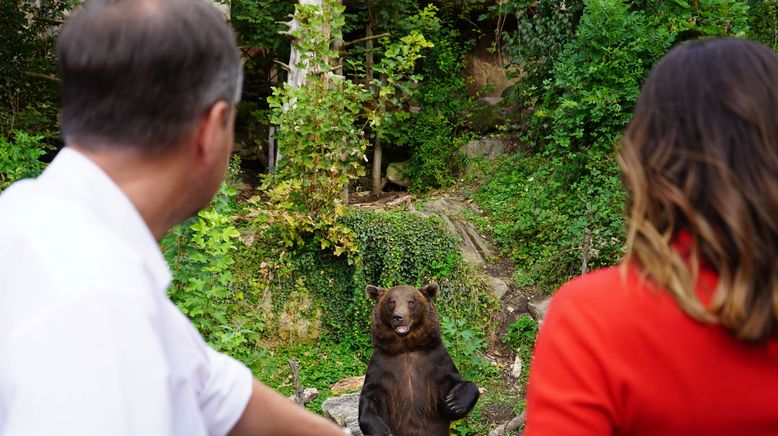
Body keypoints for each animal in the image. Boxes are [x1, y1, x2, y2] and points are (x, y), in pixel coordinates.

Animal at [360, 282, 478, 436]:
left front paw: (454, 403)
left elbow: (453, 384)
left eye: (411, 301)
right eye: (391, 301)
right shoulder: (381, 366)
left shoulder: (436, 362)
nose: (398, 317)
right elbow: (370, 398)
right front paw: (382, 431)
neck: (406, 348)